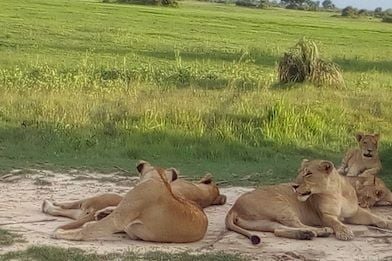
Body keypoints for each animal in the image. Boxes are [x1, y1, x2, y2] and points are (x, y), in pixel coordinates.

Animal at [41, 173, 225, 230]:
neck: (205, 195)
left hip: (97, 198)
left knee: (70, 205)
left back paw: (49, 204)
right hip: (81, 211)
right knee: (64, 209)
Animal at [225, 158, 390, 244]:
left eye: (308, 174)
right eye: (299, 173)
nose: (293, 185)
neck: (335, 192)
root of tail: (233, 208)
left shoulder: (354, 212)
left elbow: (373, 217)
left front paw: (388, 222)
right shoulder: (325, 215)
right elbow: (336, 222)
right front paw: (344, 232)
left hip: (264, 222)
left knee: (279, 230)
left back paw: (306, 234)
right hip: (281, 206)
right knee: (295, 224)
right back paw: (320, 231)